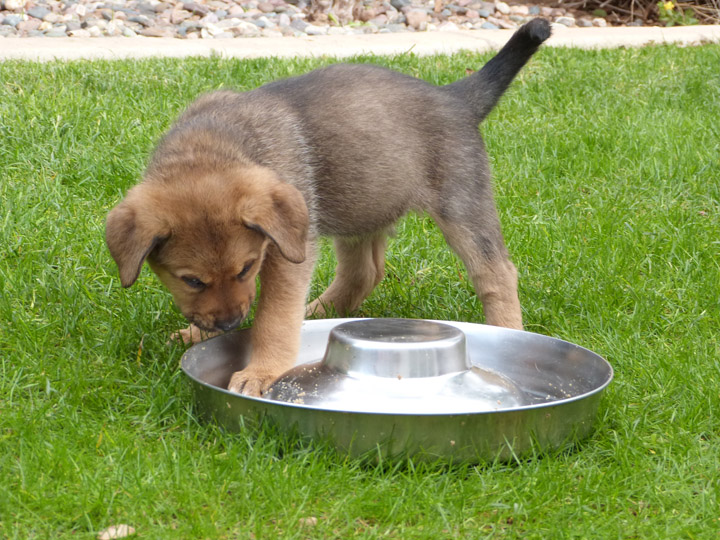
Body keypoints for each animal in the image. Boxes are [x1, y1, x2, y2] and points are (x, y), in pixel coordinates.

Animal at [105, 20, 552, 396]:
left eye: (247, 268)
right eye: (192, 280)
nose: (230, 325)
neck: (209, 148)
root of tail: (454, 97)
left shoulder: (288, 255)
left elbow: (274, 318)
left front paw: (260, 371)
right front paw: (197, 336)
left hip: (461, 205)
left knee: (496, 273)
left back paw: (510, 330)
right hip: (361, 204)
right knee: (364, 273)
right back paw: (316, 313)